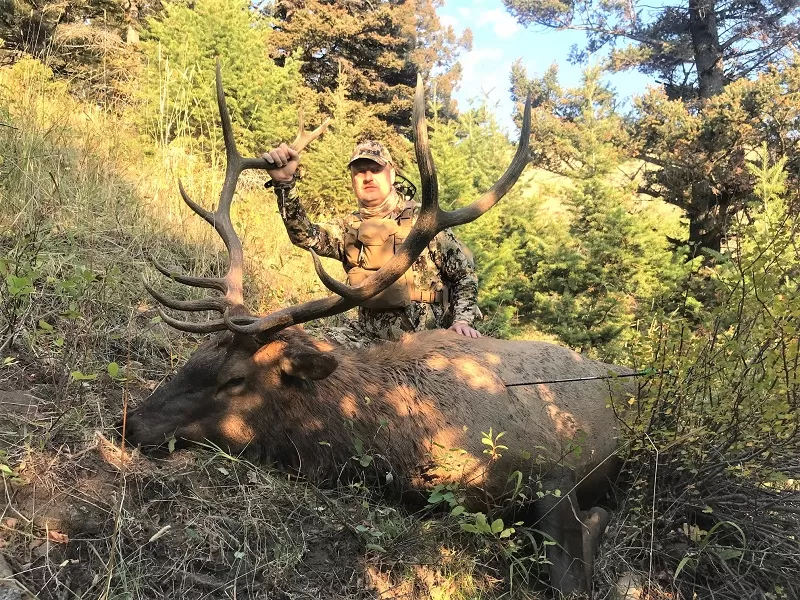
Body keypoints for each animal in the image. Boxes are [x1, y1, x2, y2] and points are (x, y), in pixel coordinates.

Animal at [125, 63, 636, 596]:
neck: (406, 440)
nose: (132, 422)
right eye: (195, 357)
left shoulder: (556, 470)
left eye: (235, 380)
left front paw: (598, 527)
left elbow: (570, 573)